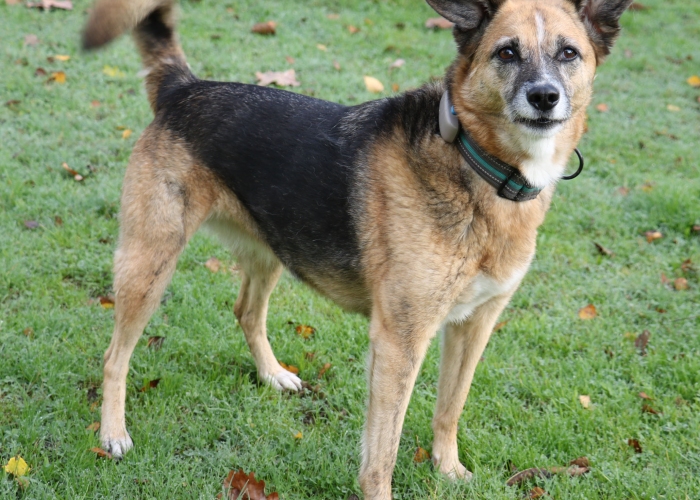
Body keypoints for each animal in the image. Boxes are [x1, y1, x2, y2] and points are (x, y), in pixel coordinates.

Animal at [82, 1, 636, 498]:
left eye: (569, 53)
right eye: (506, 52)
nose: (544, 97)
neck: (475, 164)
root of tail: (185, 88)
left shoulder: (475, 324)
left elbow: (450, 407)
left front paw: (447, 469)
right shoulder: (399, 342)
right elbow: (381, 455)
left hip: (270, 250)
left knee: (246, 312)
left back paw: (272, 375)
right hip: (149, 264)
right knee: (115, 355)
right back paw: (112, 432)